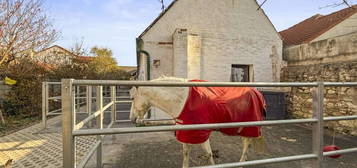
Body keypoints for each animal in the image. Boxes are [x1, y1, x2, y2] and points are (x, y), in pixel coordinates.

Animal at [129, 77, 266, 167]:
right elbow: (186, 153)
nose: (132, 118)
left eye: (132, 98)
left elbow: (209, 154)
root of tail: (256, 92)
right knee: (246, 143)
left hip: (250, 126)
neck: (182, 101)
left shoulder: (201, 133)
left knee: (247, 144)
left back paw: (242, 162)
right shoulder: (186, 132)